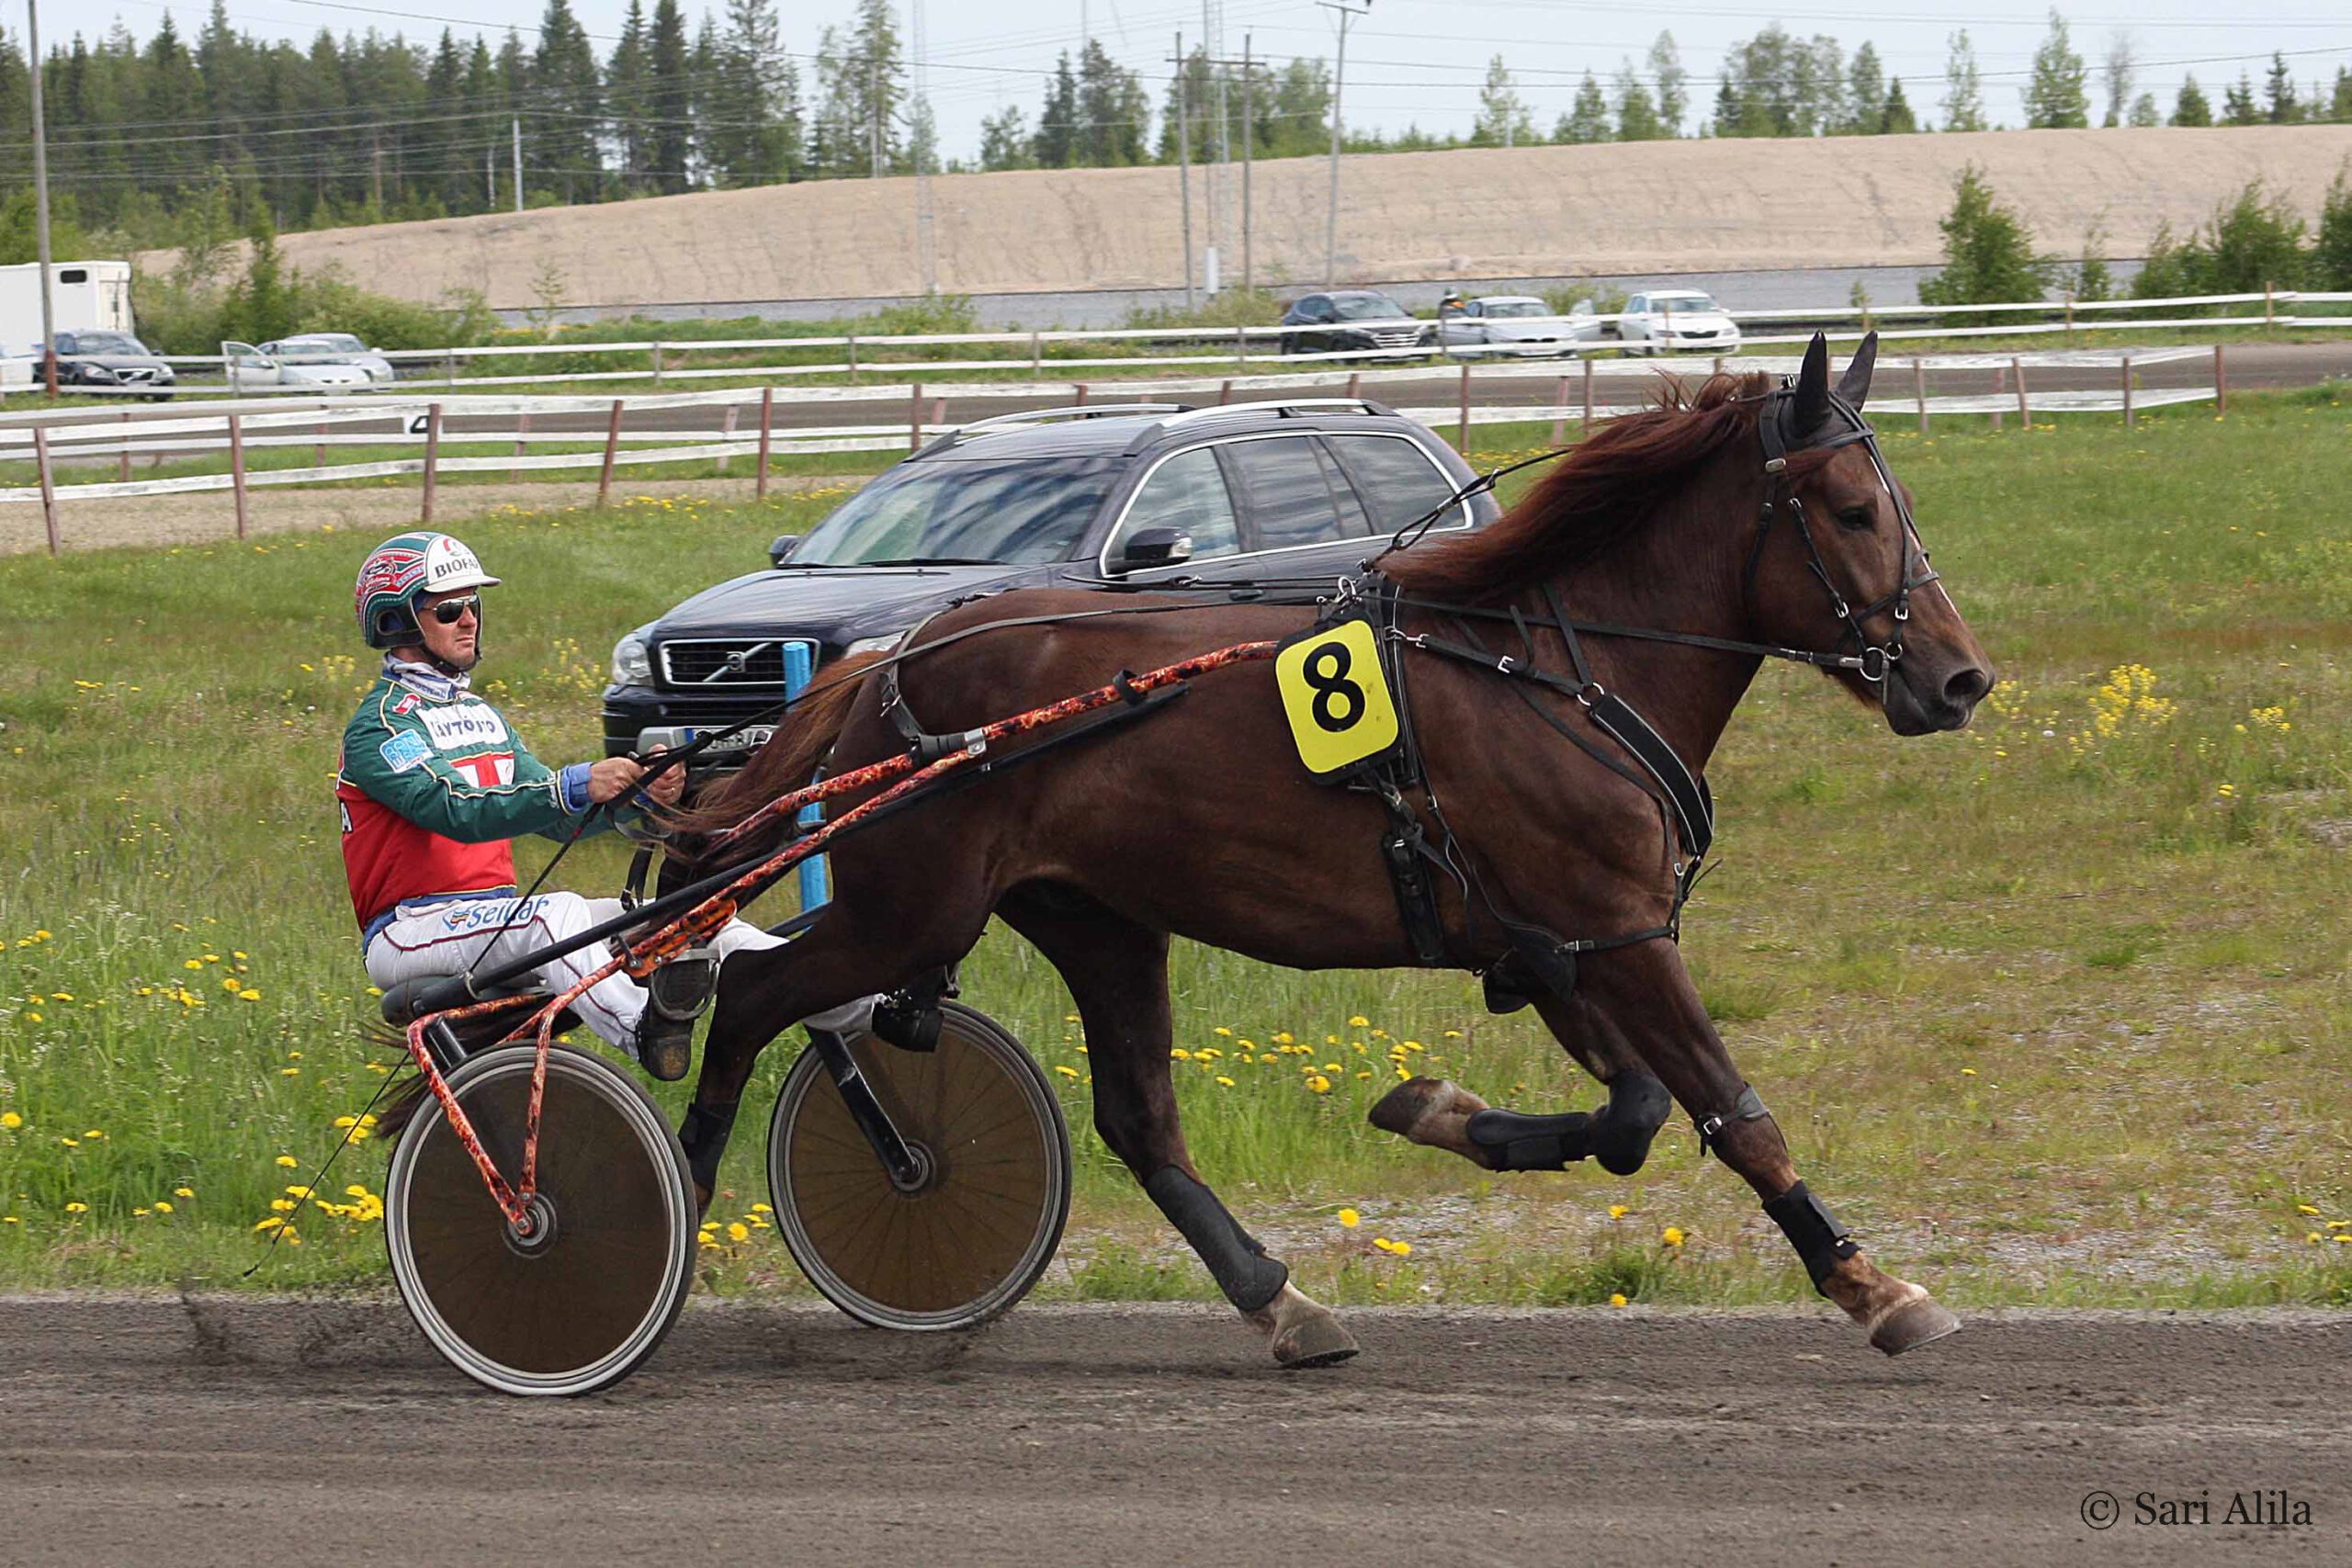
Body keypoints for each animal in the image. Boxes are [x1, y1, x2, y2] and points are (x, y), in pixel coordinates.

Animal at [677, 333, 1993, 1366]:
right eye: (1854, 511)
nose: (1957, 679)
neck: (1557, 671)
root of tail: (893, 660)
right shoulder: (1614, 929)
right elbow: (1729, 1111)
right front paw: (1872, 1286)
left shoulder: (1557, 941)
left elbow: (1634, 1115)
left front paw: (1441, 1110)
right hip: (914, 909)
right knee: (747, 999)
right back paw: (673, 1208)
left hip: (1095, 919)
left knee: (1139, 1121)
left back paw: (1281, 1302)